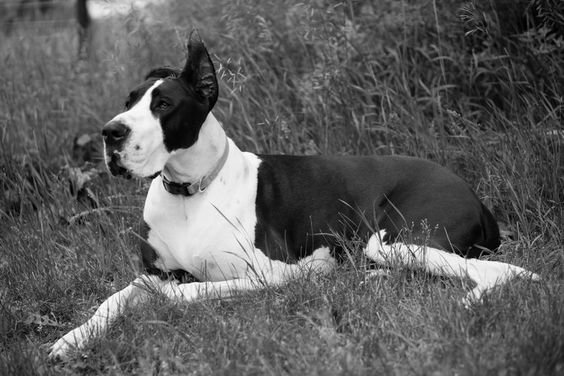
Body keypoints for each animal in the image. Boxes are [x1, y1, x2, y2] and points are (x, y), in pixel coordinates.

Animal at [48, 31, 536, 358]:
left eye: (163, 105)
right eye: (128, 101)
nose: (111, 133)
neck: (190, 192)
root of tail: (474, 195)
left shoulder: (270, 274)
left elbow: (193, 291)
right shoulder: (152, 272)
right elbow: (113, 299)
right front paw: (70, 340)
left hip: (396, 239)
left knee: (501, 272)